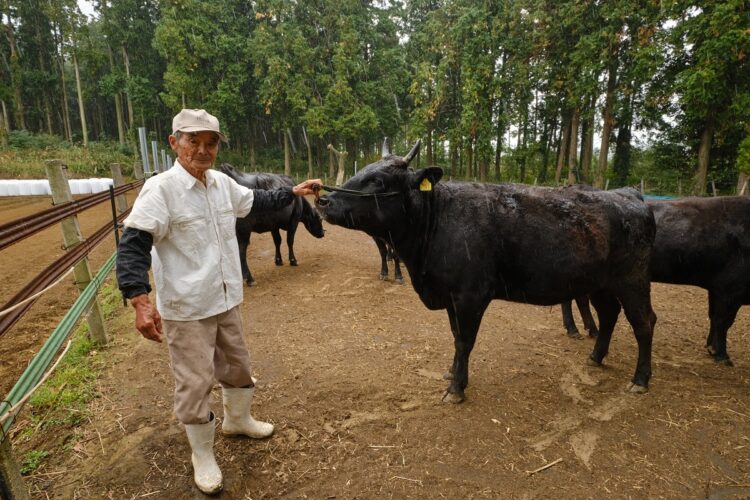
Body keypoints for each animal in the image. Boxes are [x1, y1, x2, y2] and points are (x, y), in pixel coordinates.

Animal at [318, 141, 656, 402]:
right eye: (361, 170)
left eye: (378, 180)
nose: (323, 199)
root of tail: (629, 196)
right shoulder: (450, 295)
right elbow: (455, 336)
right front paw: (453, 373)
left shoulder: (471, 295)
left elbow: (465, 340)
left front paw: (456, 388)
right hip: (600, 283)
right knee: (610, 315)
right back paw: (596, 357)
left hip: (633, 280)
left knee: (644, 322)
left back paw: (640, 380)